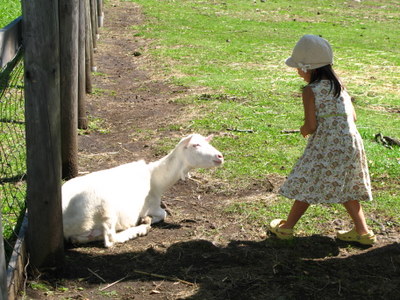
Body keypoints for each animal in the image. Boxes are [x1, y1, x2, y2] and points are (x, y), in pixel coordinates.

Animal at [63, 134, 225, 246]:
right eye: (196, 145)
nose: (220, 156)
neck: (155, 178)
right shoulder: (151, 205)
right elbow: (163, 213)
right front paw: (146, 219)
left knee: (80, 238)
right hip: (104, 207)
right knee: (110, 239)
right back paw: (140, 228)